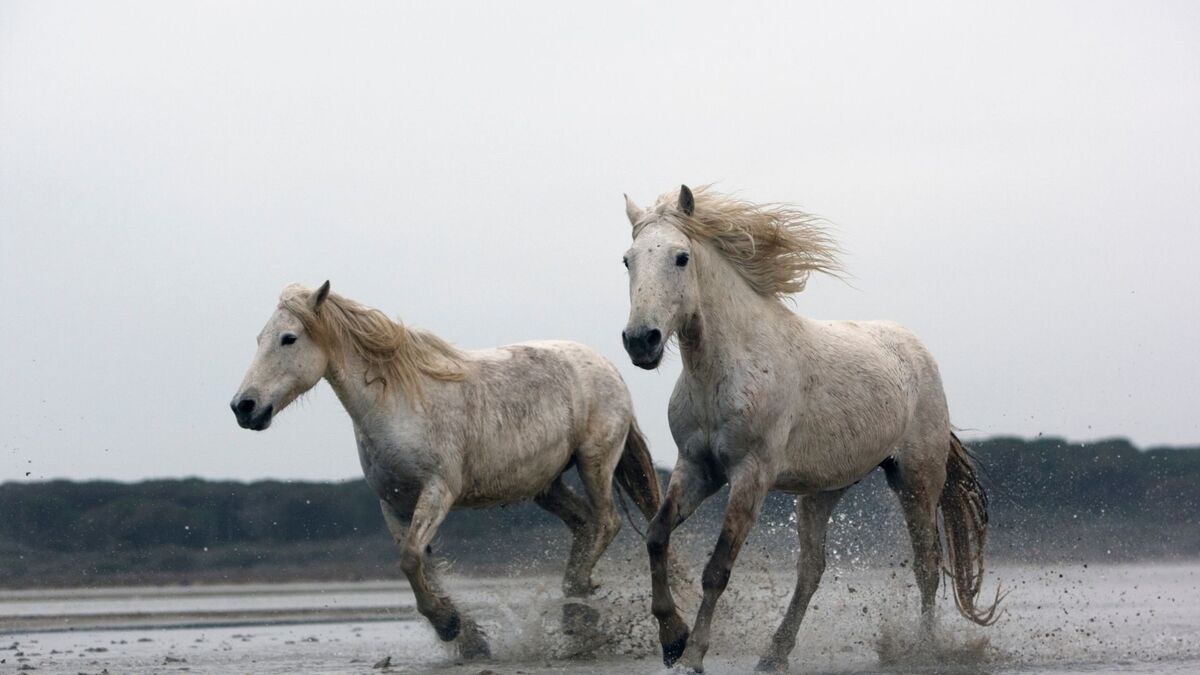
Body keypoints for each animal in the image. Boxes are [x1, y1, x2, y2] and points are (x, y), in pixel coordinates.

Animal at [229, 279, 662, 658]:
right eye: (259, 339)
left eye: (289, 338)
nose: (244, 407)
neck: (396, 404)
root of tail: (609, 367)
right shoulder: (395, 504)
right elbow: (419, 564)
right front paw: (467, 637)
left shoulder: (438, 491)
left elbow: (410, 559)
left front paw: (449, 624)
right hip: (547, 485)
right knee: (586, 524)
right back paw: (579, 613)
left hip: (594, 462)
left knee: (606, 522)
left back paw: (576, 607)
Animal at [624, 183, 998, 667]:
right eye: (628, 259)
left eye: (681, 257)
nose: (640, 341)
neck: (728, 368)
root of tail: (916, 349)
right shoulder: (697, 468)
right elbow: (656, 536)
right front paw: (672, 638)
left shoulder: (752, 475)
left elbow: (718, 569)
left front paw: (693, 657)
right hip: (823, 491)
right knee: (811, 570)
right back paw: (774, 655)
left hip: (916, 479)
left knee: (927, 564)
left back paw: (923, 649)